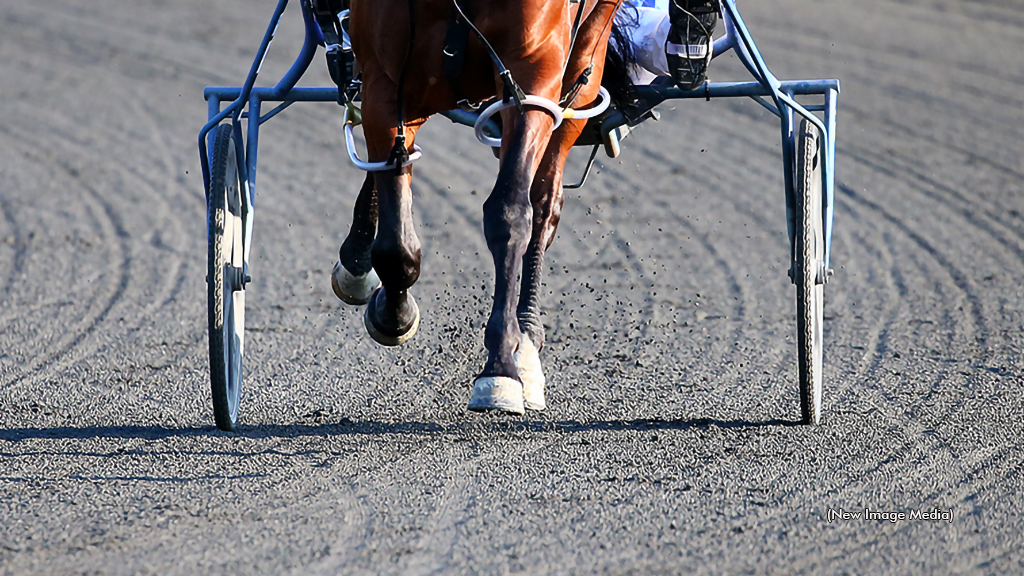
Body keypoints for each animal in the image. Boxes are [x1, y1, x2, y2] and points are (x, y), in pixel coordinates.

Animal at [327, 0, 630, 412]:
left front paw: (501, 368)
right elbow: (396, 242)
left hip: (586, 52)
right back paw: (357, 260)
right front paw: (394, 313)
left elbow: (512, 213)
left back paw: (526, 343)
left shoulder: (533, 72)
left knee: (545, 200)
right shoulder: (388, 80)